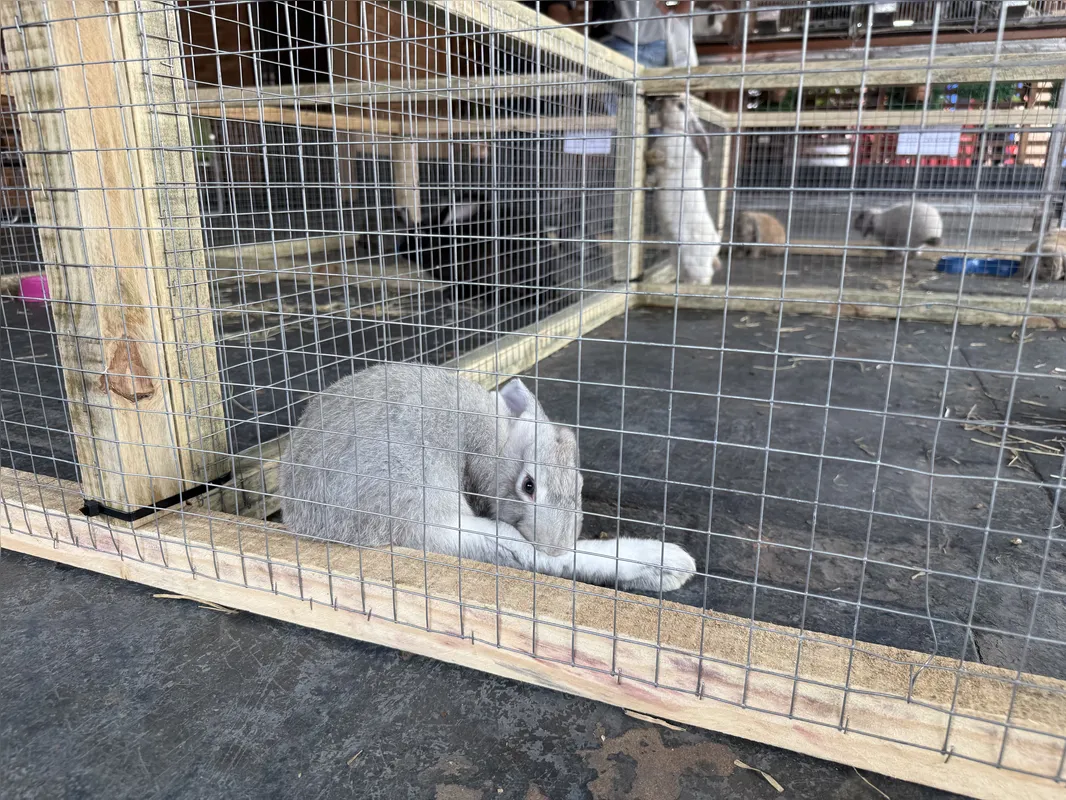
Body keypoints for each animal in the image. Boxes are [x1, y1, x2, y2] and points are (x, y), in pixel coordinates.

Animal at [281, 362, 697, 592]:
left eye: (579, 487)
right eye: (528, 486)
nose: (556, 545)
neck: (496, 445)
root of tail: (305, 522)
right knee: (523, 556)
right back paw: (669, 565)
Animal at [648, 95, 721, 285]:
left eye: (680, 106)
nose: (660, 100)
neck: (677, 131)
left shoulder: (669, 158)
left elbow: (658, 160)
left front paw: (647, 156)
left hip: (694, 261)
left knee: (706, 277)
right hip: (678, 259)